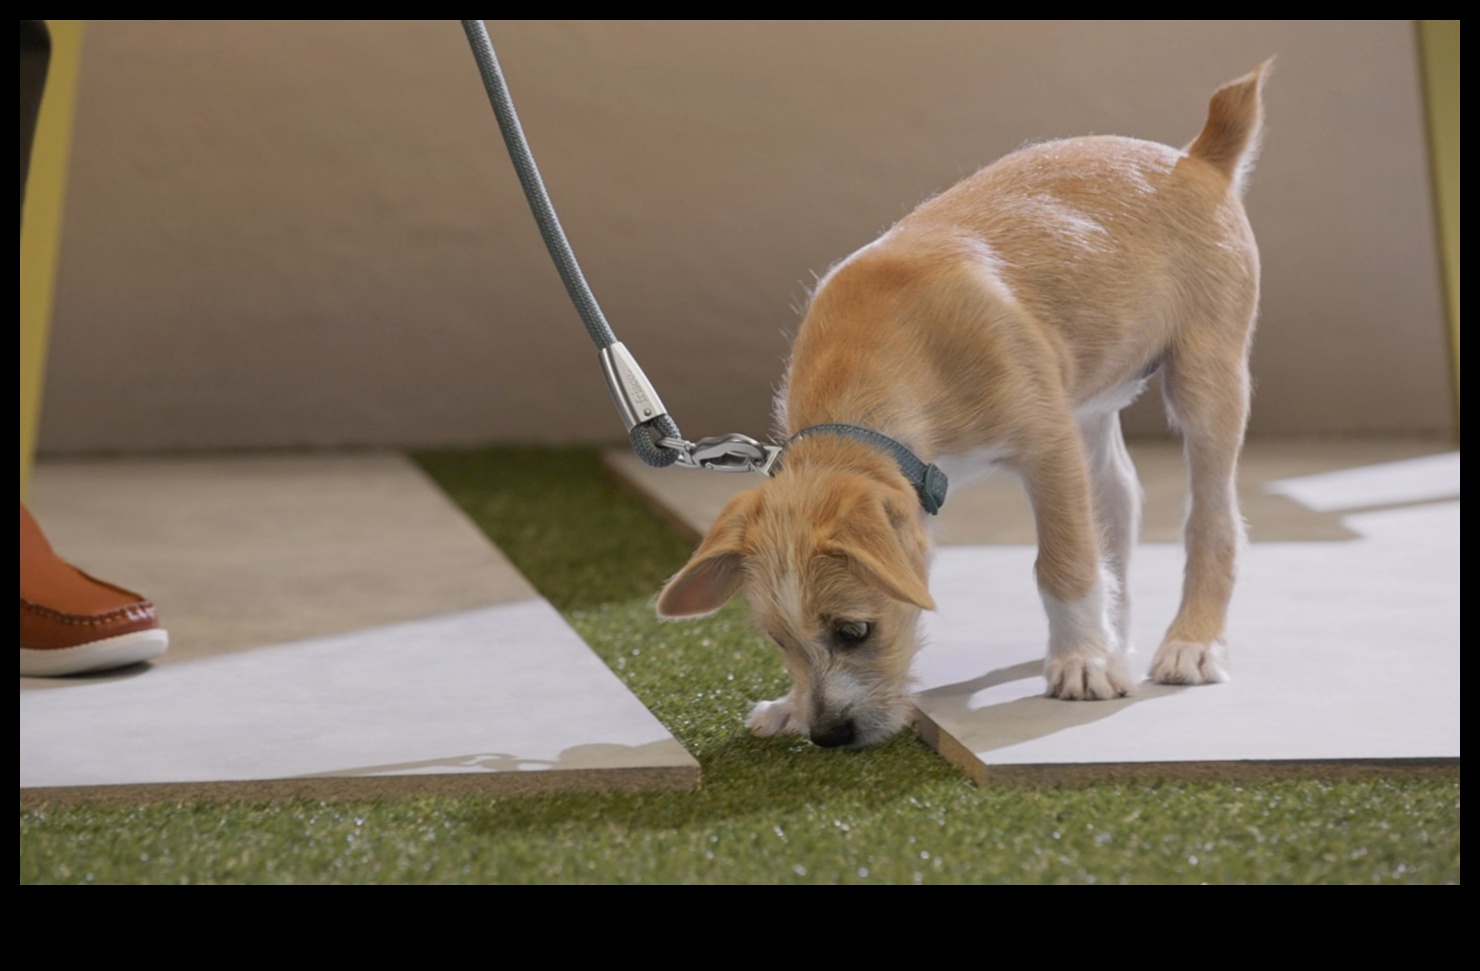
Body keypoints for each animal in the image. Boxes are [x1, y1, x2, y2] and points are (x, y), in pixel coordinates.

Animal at [660, 60, 1272, 746]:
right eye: (778, 642)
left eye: (854, 631)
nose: (828, 736)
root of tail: (1197, 158)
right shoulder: (1062, 436)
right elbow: (1088, 545)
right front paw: (788, 705)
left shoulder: (1049, 449)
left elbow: (1063, 561)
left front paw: (1082, 662)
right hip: (1091, 407)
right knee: (1119, 502)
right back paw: (1118, 636)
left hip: (1206, 380)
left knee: (1211, 518)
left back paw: (1189, 643)